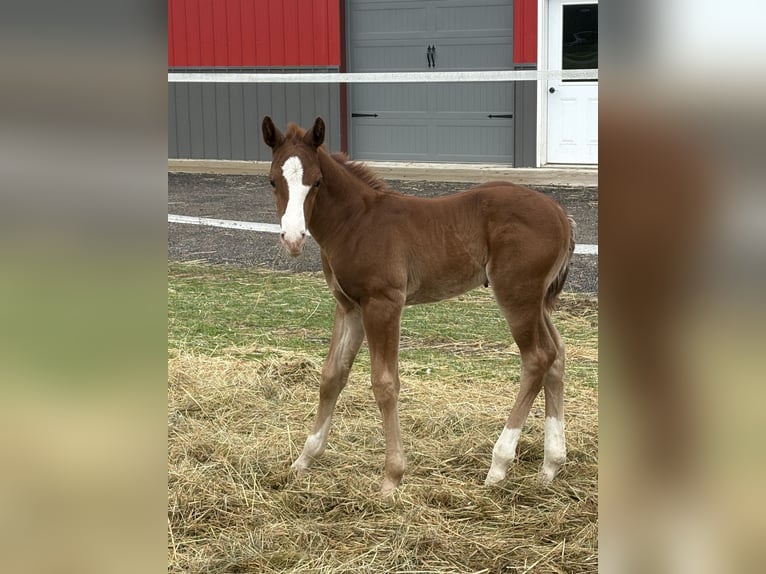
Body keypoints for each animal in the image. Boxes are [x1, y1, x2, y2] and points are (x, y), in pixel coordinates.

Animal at [262, 116, 575, 495]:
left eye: (317, 181)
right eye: (273, 180)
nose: (293, 239)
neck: (356, 223)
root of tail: (560, 214)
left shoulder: (383, 303)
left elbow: (385, 383)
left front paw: (392, 478)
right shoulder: (349, 306)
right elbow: (332, 376)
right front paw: (304, 460)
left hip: (517, 295)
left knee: (537, 358)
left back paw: (498, 466)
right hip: (538, 300)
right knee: (556, 354)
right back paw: (550, 465)